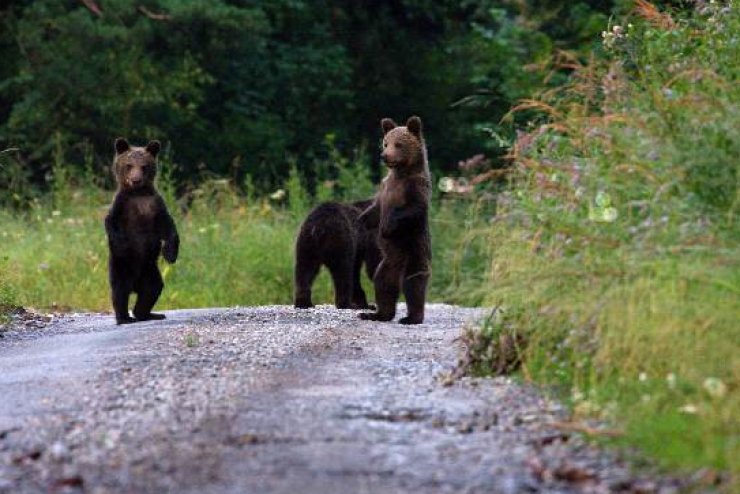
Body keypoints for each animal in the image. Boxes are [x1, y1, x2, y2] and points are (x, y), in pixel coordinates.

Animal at [103, 138, 178, 324]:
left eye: (144, 166)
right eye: (129, 165)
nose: (136, 179)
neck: (138, 193)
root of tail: (134, 286)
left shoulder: (155, 205)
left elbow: (168, 227)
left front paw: (170, 253)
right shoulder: (122, 205)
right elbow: (111, 223)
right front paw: (124, 246)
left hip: (149, 270)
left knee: (152, 290)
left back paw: (149, 314)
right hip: (120, 267)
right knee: (120, 291)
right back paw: (124, 318)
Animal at [360, 115, 430, 324]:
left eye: (399, 144)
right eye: (385, 143)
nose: (385, 155)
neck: (400, 173)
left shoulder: (415, 187)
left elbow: (412, 209)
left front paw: (386, 227)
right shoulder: (385, 188)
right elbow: (374, 211)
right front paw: (361, 221)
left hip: (414, 252)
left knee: (414, 284)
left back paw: (412, 317)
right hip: (387, 264)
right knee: (383, 285)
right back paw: (377, 314)